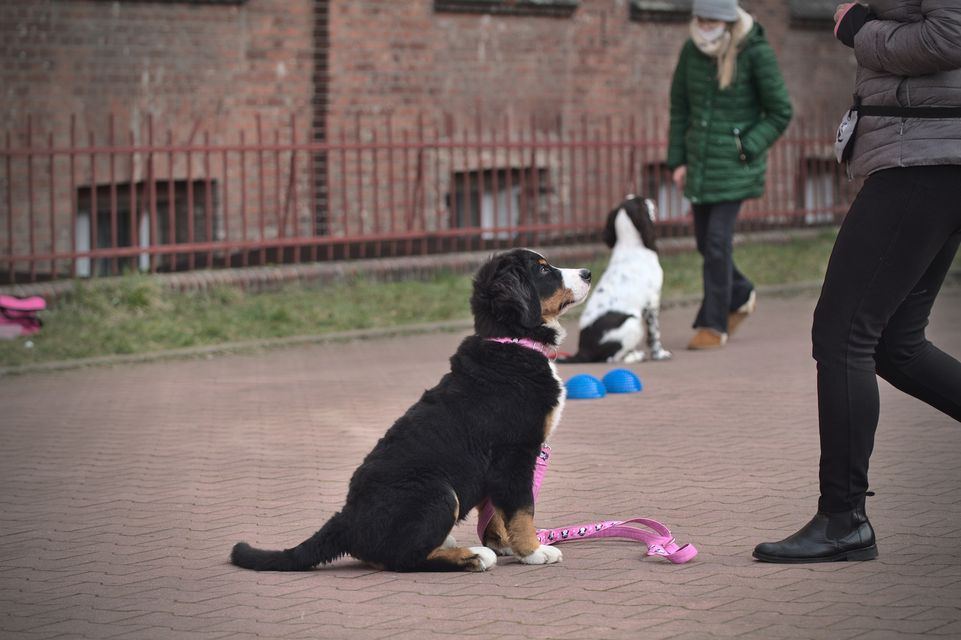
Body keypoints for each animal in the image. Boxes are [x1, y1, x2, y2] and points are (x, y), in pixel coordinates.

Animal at [230, 249, 591, 572]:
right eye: (543, 269)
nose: (588, 272)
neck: (513, 342)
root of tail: (348, 518)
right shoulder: (515, 453)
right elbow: (521, 509)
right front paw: (533, 551)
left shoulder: (501, 463)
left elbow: (495, 512)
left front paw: (503, 543)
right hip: (438, 491)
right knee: (404, 559)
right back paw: (472, 556)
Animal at [559, 195, 671, 364]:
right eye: (643, 202)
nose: (652, 199)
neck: (630, 246)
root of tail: (582, 352)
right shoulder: (652, 302)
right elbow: (654, 333)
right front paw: (659, 354)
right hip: (632, 322)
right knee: (611, 358)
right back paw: (635, 356)